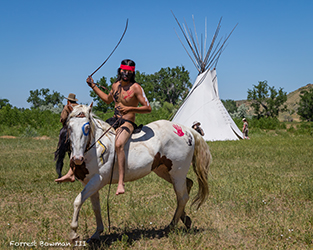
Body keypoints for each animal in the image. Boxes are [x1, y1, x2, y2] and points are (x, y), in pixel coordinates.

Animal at [66, 104, 212, 242]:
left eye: (86, 127)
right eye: (69, 127)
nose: (77, 159)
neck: (97, 146)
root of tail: (187, 131)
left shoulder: (98, 180)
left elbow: (77, 201)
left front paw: (73, 234)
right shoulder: (89, 182)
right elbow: (96, 207)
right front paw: (97, 234)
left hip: (177, 172)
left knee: (182, 197)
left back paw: (170, 226)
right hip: (164, 171)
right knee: (187, 186)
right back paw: (185, 219)